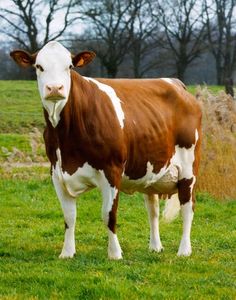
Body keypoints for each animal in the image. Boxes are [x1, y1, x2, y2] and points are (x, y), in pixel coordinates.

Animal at [10, 41, 201, 260]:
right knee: (152, 208)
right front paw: (67, 252)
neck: (66, 135)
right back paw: (155, 246)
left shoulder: (112, 170)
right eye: (39, 67)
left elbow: (109, 214)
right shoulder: (57, 172)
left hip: (189, 169)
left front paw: (115, 253)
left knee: (188, 207)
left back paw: (184, 250)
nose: (55, 88)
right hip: (151, 169)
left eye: (69, 67)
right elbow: (69, 216)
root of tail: (176, 83)